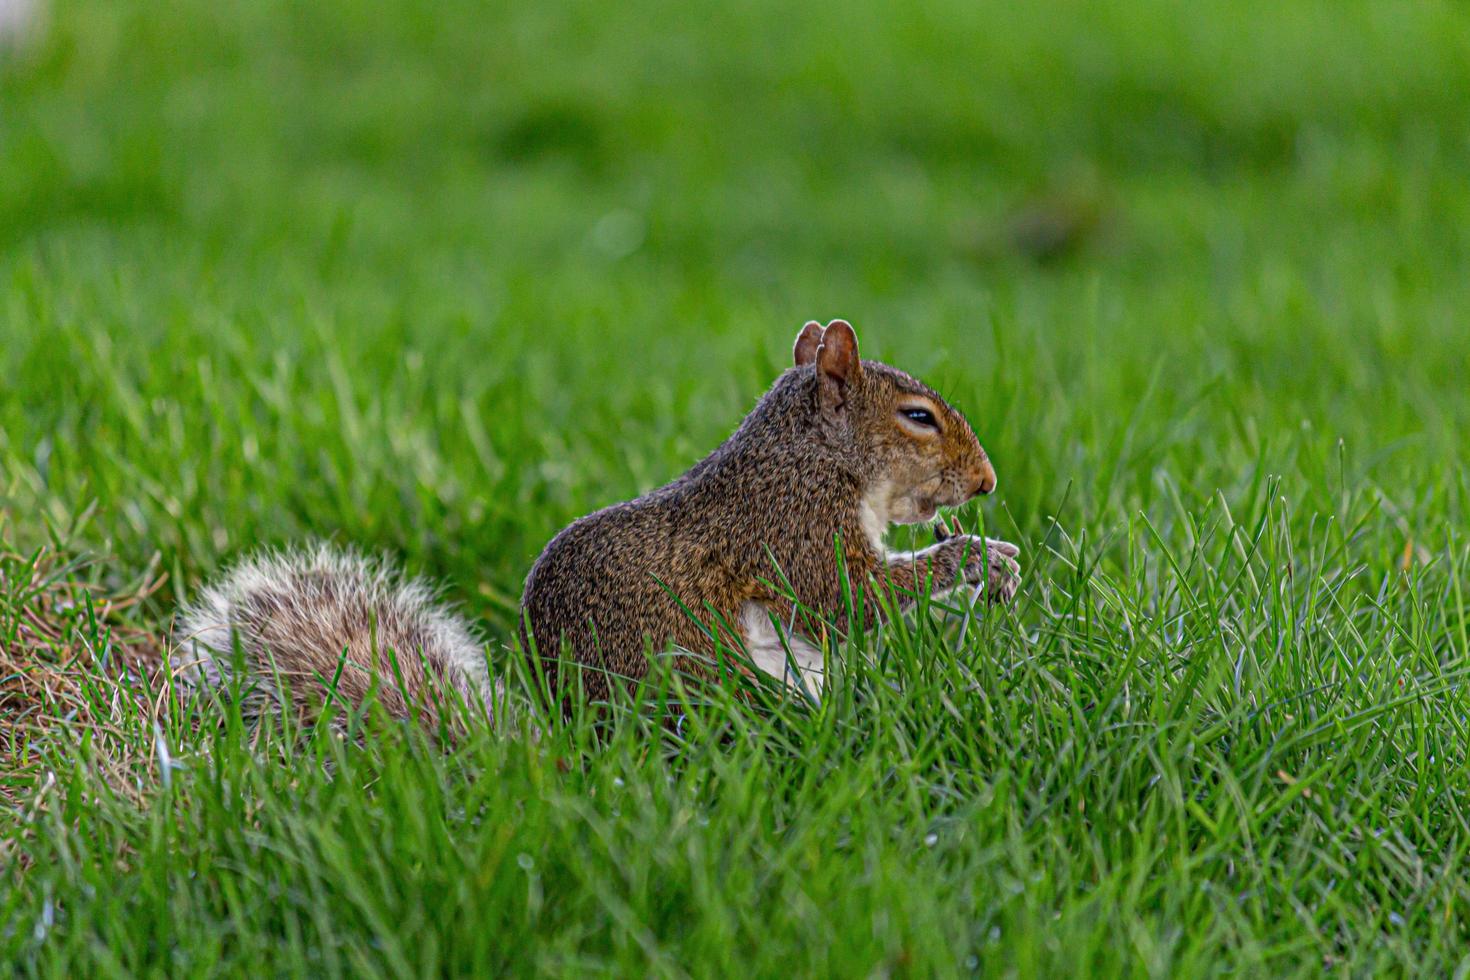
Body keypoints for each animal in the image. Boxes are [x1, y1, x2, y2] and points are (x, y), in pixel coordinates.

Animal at [174, 321, 1023, 728]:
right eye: (918, 418)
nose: (988, 481)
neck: (811, 452)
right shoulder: (790, 524)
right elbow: (846, 601)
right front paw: (979, 560)